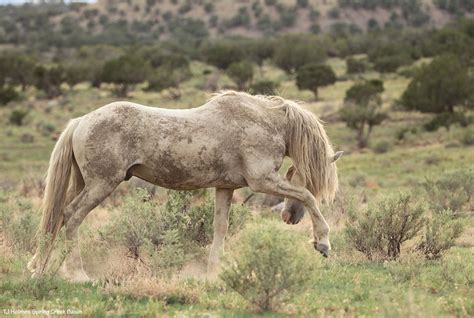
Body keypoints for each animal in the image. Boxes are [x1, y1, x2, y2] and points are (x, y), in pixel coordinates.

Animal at [27, 90, 342, 280]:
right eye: (304, 176)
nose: (289, 217)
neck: (264, 121)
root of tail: (81, 121)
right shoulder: (262, 180)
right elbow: (308, 197)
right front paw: (322, 242)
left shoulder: (225, 188)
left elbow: (220, 227)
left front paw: (214, 271)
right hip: (101, 185)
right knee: (71, 216)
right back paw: (77, 273)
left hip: (85, 183)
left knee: (58, 218)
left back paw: (41, 268)